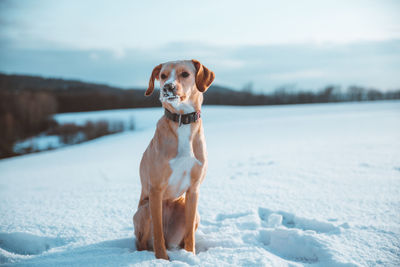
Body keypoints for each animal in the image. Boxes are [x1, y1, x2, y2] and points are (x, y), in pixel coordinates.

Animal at [134, 58, 216, 260]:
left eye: (185, 74)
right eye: (163, 76)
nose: (167, 87)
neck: (182, 120)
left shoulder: (194, 190)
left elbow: (189, 235)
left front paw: (191, 255)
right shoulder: (156, 190)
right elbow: (158, 233)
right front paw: (162, 259)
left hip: (191, 211)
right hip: (145, 209)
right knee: (143, 242)